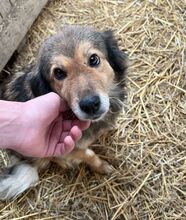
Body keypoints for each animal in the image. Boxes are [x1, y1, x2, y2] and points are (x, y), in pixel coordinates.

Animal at [0, 25, 127, 199]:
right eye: (59, 73)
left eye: (93, 59)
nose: (90, 105)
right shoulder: (67, 148)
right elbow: (89, 155)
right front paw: (102, 167)